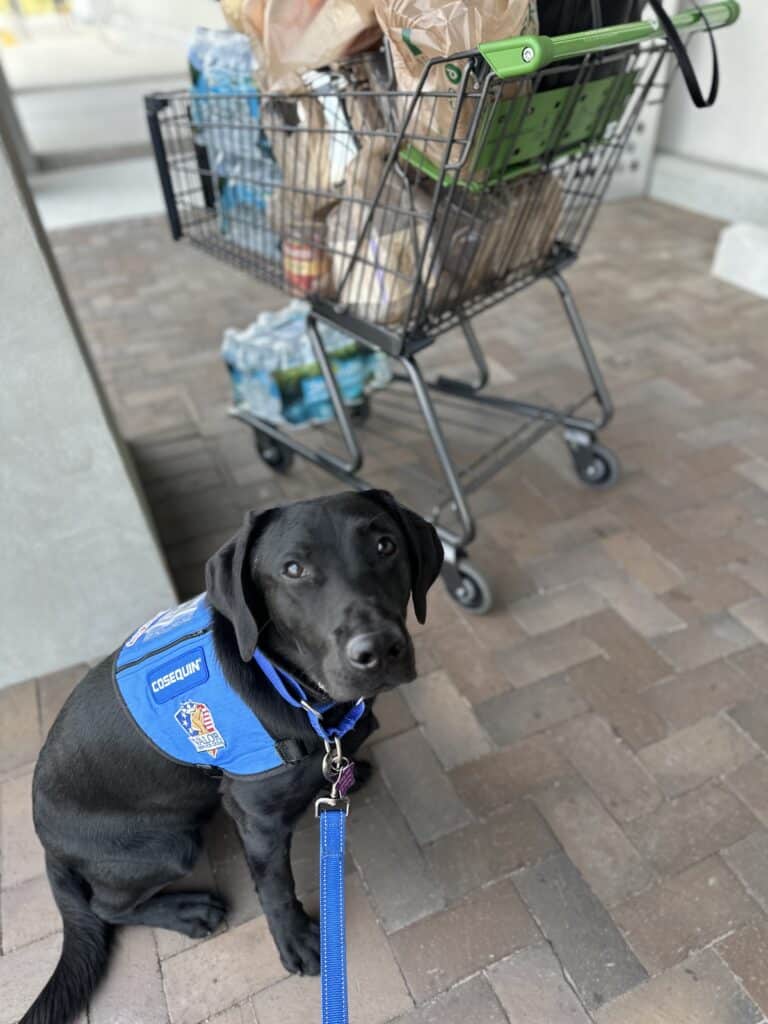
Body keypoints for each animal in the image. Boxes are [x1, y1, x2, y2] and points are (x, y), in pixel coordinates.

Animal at [24, 489, 442, 1024]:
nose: (379, 650)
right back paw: (186, 911)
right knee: (104, 907)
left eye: (386, 545)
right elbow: (276, 887)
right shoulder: (258, 822)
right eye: (292, 569)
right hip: (170, 846)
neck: (298, 690)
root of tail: (44, 840)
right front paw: (296, 941)